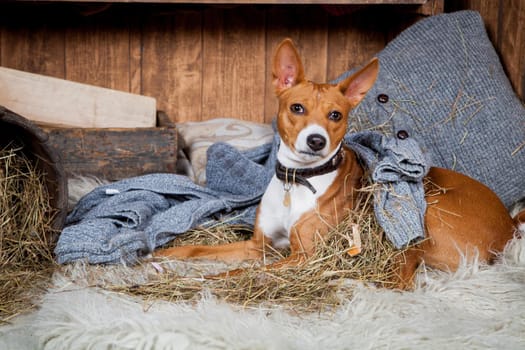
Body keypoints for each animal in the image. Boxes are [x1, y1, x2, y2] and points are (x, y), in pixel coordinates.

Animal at [155, 39, 516, 290]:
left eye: (335, 115)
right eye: (297, 108)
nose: (316, 140)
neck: (297, 180)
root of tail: (510, 225)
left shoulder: (303, 256)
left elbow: (240, 271)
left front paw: (202, 279)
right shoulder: (259, 245)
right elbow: (199, 250)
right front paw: (164, 254)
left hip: (426, 215)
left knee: (402, 279)